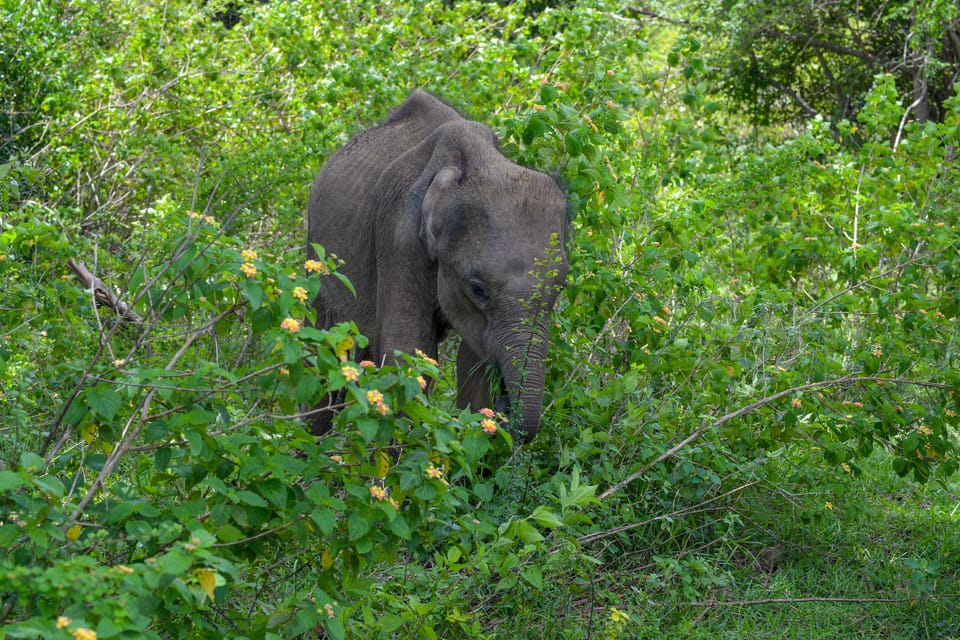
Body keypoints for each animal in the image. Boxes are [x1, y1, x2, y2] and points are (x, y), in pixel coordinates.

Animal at [306, 90, 568, 442]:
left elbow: (472, 364)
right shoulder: (399, 236)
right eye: (477, 289)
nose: (506, 403)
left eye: (560, 288)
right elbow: (408, 350)